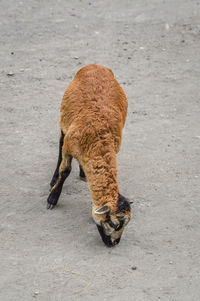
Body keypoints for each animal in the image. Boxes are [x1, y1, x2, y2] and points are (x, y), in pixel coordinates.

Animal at [46, 63, 131, 246]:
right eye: (114, 224)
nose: (115, 243)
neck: (99, 146)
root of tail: (97, 66)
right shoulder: (69, 147)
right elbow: (65, 170)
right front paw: (52, 198)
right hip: (64, 121)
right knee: (59, 144)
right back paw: (54, 179)